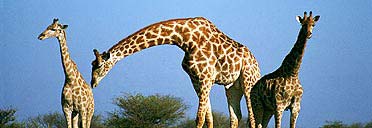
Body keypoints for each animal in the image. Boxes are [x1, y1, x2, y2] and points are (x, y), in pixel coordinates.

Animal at [89, 16, 262, 127]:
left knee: (253, 118)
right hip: (232, 87)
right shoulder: (196, 80)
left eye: (99, 66)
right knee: (236, 117)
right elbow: (208, 118)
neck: (184, 38)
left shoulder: (206, 78)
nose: (93, 83)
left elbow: (199, 117)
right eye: (92, 64)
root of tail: (257, 67)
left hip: (249, 82)